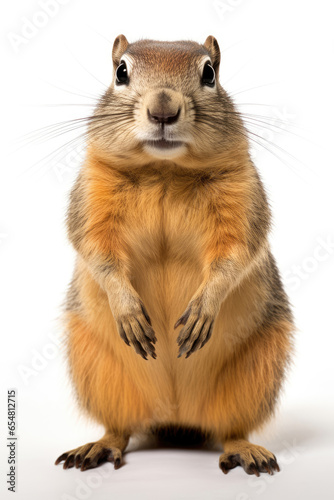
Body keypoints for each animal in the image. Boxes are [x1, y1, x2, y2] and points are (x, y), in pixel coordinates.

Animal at [55, 35, 294, 476]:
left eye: (210, 73)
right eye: (121, 71)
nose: (163, 110)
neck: (163, 170)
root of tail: (174, 415)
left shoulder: (242, 198)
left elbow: (235, 255)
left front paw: (203, 309)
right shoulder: (92, 197)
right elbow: (97, 252)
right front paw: (127, 310)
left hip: (255, 374)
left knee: (232, 427)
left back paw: (245, 450)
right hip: (97, 372)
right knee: (120, 427)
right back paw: (99, 446)